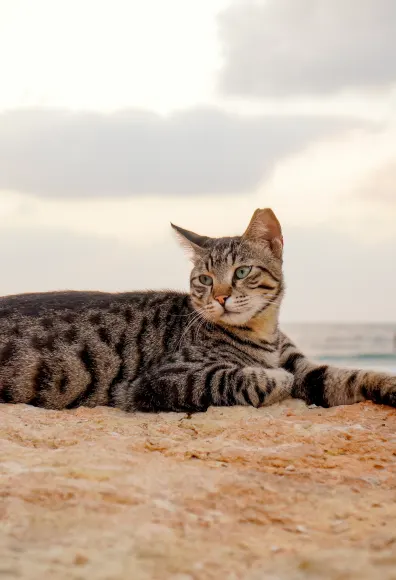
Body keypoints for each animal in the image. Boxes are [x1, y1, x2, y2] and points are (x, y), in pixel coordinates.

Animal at [0, 208, 394, 412]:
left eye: (242, 272)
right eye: (204, 279)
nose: (219, 297)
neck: (263, 332)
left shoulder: (306, 367)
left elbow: (350, 376)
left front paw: (386, 384)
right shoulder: (161, 381)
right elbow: (244, 378)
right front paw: (276, 378)